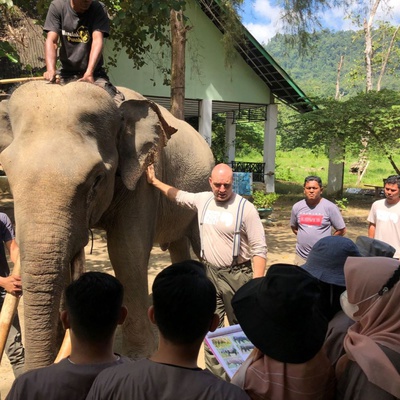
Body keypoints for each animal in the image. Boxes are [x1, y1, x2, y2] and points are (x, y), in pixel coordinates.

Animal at [0, 81, 215, 370]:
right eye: (7, 174)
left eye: (97, 178)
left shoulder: (143, 180)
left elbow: (126, 251)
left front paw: (137, 357)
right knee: (178, 245)